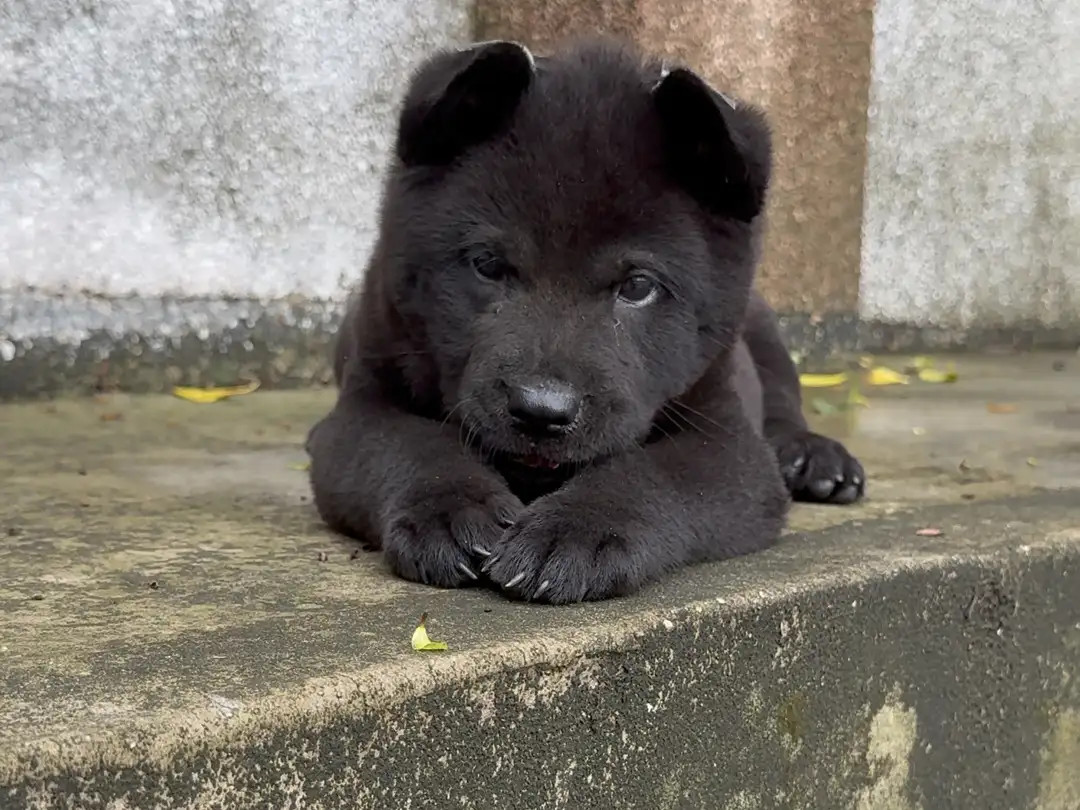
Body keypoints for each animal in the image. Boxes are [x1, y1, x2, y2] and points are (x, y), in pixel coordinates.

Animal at [308, 36, 864, 604]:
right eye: (488, 264)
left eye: (637, 286)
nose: (541, 411)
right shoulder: (359, 407)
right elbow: (407, 443)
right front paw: (450, 508)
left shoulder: (727, 438)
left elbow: (652, 471)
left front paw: (575, 532)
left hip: (764, 332)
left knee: (784, 402)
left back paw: (814, 458)